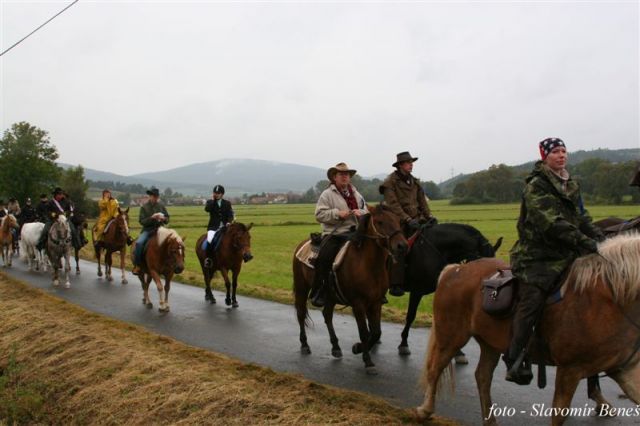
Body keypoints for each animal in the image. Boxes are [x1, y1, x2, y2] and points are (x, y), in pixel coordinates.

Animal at [294, 205, 408, 374]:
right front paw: (368, 361)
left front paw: (357, 348)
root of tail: (303, 244)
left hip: (330, 296)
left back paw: (335, 347)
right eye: (380, 222)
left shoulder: (375, 302)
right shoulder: (358, 303)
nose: (402, 246)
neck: (368, 265)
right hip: (301, 288)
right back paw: (304, 345)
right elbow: (364, 332)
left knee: (327, 315)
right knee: (301, 315)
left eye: (398, 221)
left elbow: (376, 332)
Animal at [416, 235, 640, 424]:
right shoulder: (570, 370)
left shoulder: (623, 369)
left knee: (482, 377)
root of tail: (456, 269)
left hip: (489, 344)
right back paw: (425, 410)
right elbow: (559, 413)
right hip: (451, 336)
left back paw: (490, 420)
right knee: (435, 368)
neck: (609, 297)